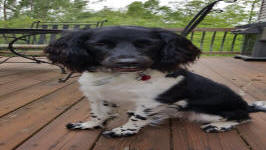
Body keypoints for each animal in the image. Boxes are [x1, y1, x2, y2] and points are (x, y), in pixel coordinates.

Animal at [44, 25, 266, 137]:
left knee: (244, 117)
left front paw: (123, 131)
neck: (121, 77)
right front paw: (89, 125)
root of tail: (245, 104)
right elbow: (98, 114)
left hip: (210, 113)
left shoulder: (151, 102)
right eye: (101, 44)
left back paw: (220, 126)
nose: (127, 62)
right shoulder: (99, 97)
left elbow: (138, 118)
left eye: (145, 44)